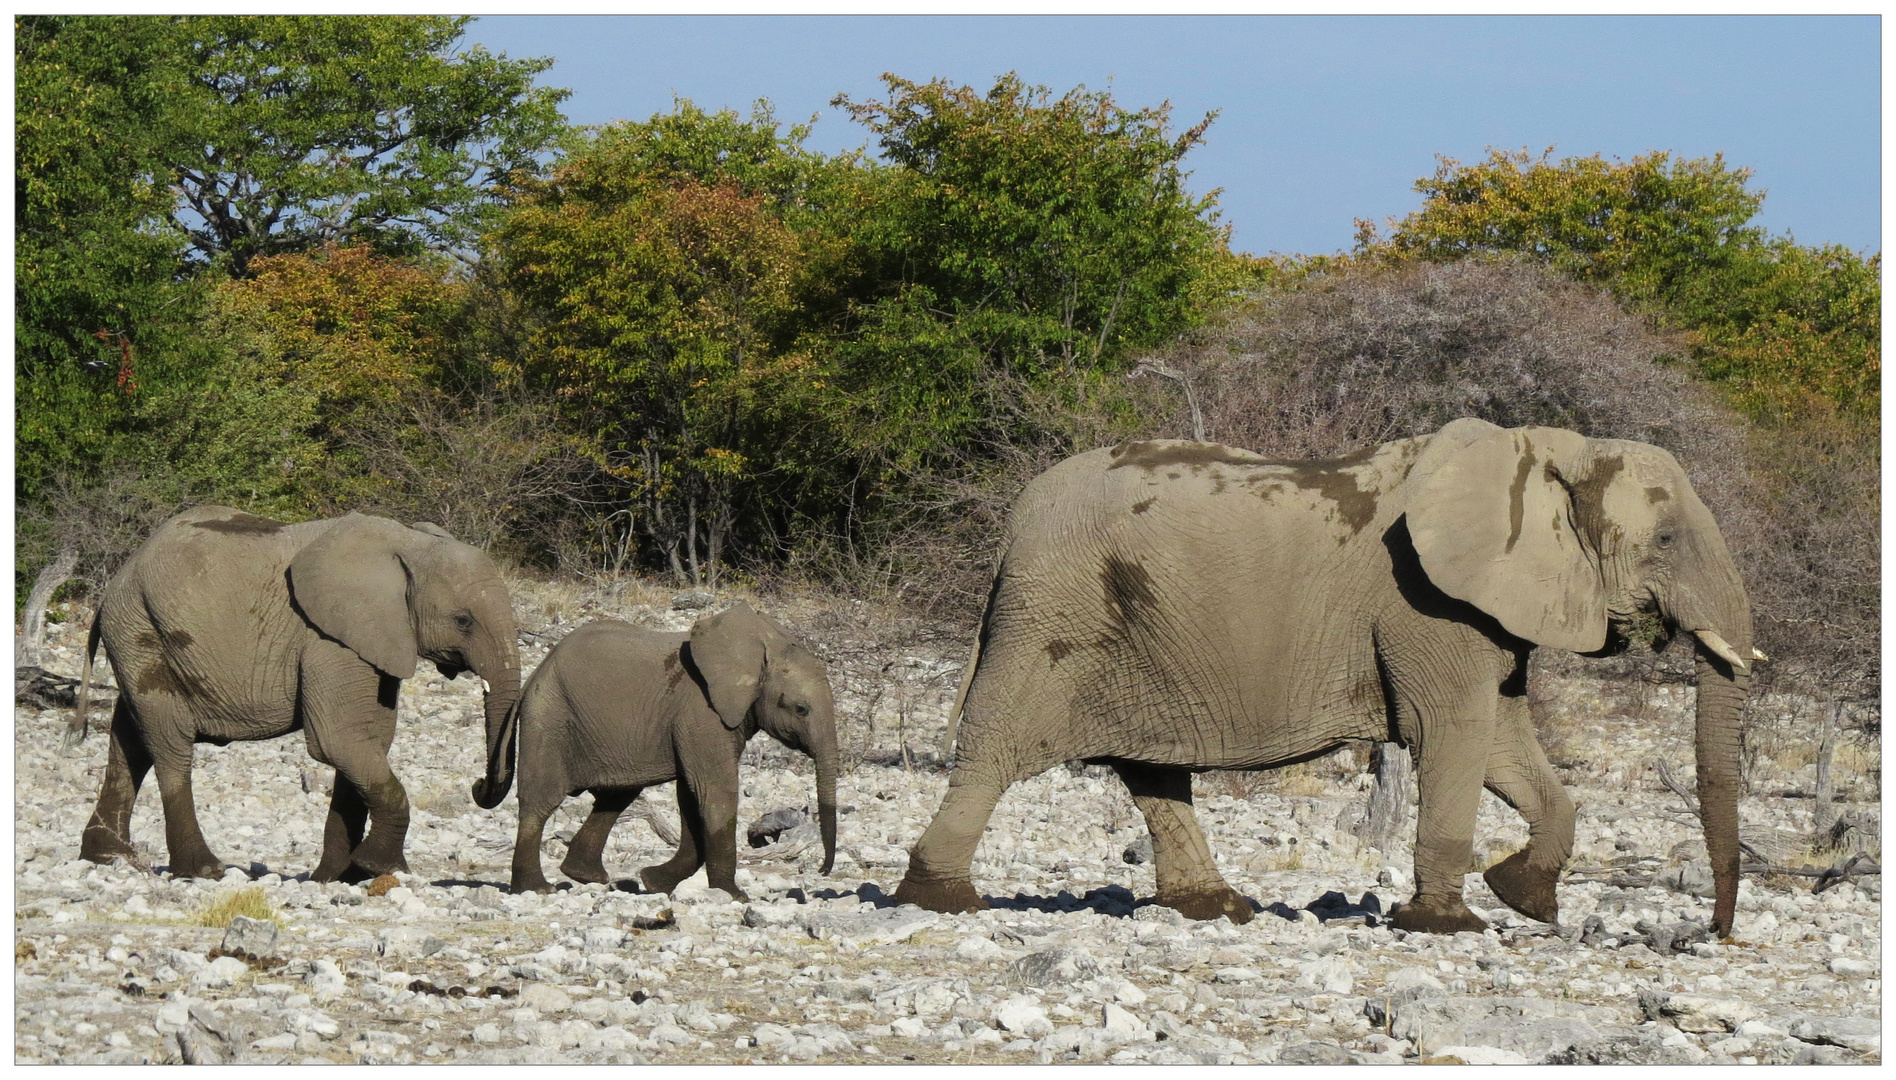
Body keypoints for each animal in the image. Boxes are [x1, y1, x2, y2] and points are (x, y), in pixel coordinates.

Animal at [70, 507, 523, 879]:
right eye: (463, 621)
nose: (478, 785)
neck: (409, 544)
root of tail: (115, 582)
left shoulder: (373, 640)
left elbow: (368, 743)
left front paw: (338, 877)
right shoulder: (328, 640)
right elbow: (336, 740)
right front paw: (381, 868)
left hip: (137, 635)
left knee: (130, 741)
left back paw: (108, 858)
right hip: (140, 630)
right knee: (169, 745)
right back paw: (203, 870)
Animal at [481, 602, 845, 894]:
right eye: (801, 709)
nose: (822, 871)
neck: (762, 646)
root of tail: (535, 672)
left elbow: (691, 797)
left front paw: (653, 882)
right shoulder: (701, 712)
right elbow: (715, 792)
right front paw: (733, 896)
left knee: (616, 796)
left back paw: (587, 877)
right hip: (549, 716)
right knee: (541, 800)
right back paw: (537, 888)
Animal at [894, 420, 1751, 932]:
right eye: (1667, 538)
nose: (1711, 932)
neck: (1542, 451)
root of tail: (1013, 523)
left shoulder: (1487, 610)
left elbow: (1506, 744)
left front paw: (1523, 898)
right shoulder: (1428, 604)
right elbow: (1456, 734)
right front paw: (1449, 924)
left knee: (1151, 769)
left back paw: (1216, 908)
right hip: (1052, 614)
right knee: (998, 750)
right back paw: (939, 898)